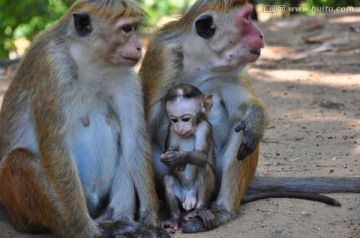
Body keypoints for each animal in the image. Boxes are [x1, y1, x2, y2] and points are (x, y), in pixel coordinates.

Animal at [0, 0, 169, 237]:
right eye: (127, 29)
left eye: (136, 28)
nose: (139, 46)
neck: (88, 62)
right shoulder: (52, 68)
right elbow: (55, 147)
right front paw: (85, 231)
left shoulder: (123, 73)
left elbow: (134, 139)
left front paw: (149, 222)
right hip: (19, 211)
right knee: (19, 159)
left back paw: (119, 218)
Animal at [160, 83, 217, 231]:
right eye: (174, 120)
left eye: (185, 119)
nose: (180, 128)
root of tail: (189, 198)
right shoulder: (171, 129)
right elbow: (168, 150)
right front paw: (172, 158)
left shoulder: (204, 127)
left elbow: (202, 156)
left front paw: (179, 158)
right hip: (181, 195)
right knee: (168, 179)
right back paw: (174, 217)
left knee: (204, 167)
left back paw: (200, 210)